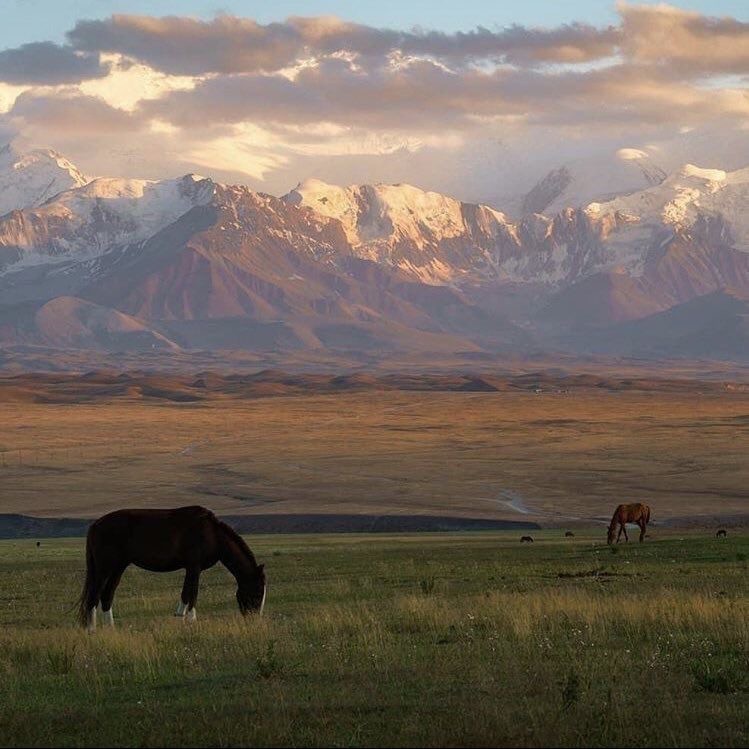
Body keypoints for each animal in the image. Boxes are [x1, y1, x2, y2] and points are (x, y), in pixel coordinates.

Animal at [78, 506, 266, 628]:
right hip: (104, 569)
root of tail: (95, 525)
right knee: (93, 597)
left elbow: (186, 593)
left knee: (106, 595)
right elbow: (192, 593)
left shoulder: (191, 568)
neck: (213, 534)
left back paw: (110, 628)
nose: (255, 620)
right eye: (257, 593)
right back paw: (91, 630)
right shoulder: (194, 567)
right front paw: (190, 619)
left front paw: (181, 618)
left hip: (118, 567)